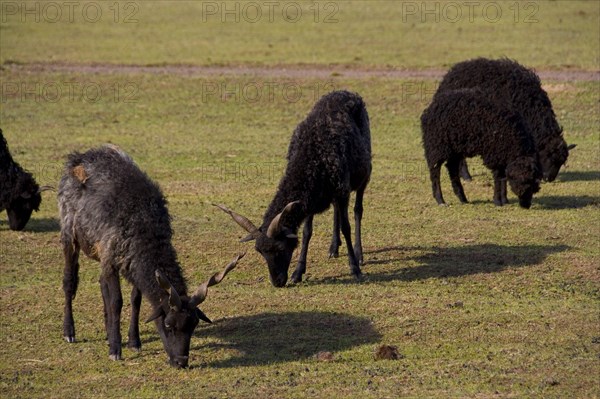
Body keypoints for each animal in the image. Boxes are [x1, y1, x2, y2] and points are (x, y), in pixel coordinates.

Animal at [57, 145, 243, 370]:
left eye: (194, 324)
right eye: (168, 324)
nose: (181, 362)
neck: (144, 229)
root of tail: (78, 156)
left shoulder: (130, 263)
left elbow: (135, 299)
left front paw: (134, 342)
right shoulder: (111, 254)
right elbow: (117, 302)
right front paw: (115, 350)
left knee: (101, 283)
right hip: (69, 233)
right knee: (69, 281)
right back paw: (69, 332)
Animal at [213, 90, 372, 288]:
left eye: (281, 248)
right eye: (260, 251)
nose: (277, 282)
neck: (312, 158)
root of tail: (347, 92)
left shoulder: (340, 190)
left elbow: (346, 227)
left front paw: (354, 268)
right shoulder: (312, 198)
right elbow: (306, 232)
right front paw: (298, 272)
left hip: (363, 175)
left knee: (358, 210)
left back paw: (359, 254)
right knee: (336, 210)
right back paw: (333, 248)